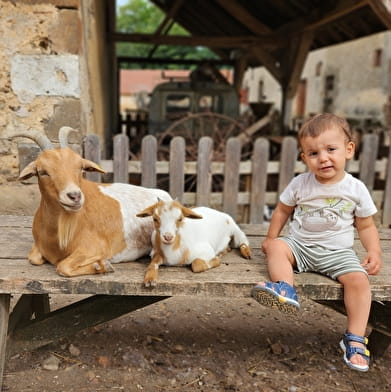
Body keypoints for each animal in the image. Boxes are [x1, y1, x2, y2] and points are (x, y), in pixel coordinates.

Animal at [7, 127, 172, 278]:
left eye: (80, 168)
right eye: (42, 172)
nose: (74, 196)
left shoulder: (95, 247)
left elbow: (63, 266)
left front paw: (102, 266)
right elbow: (33, 258)